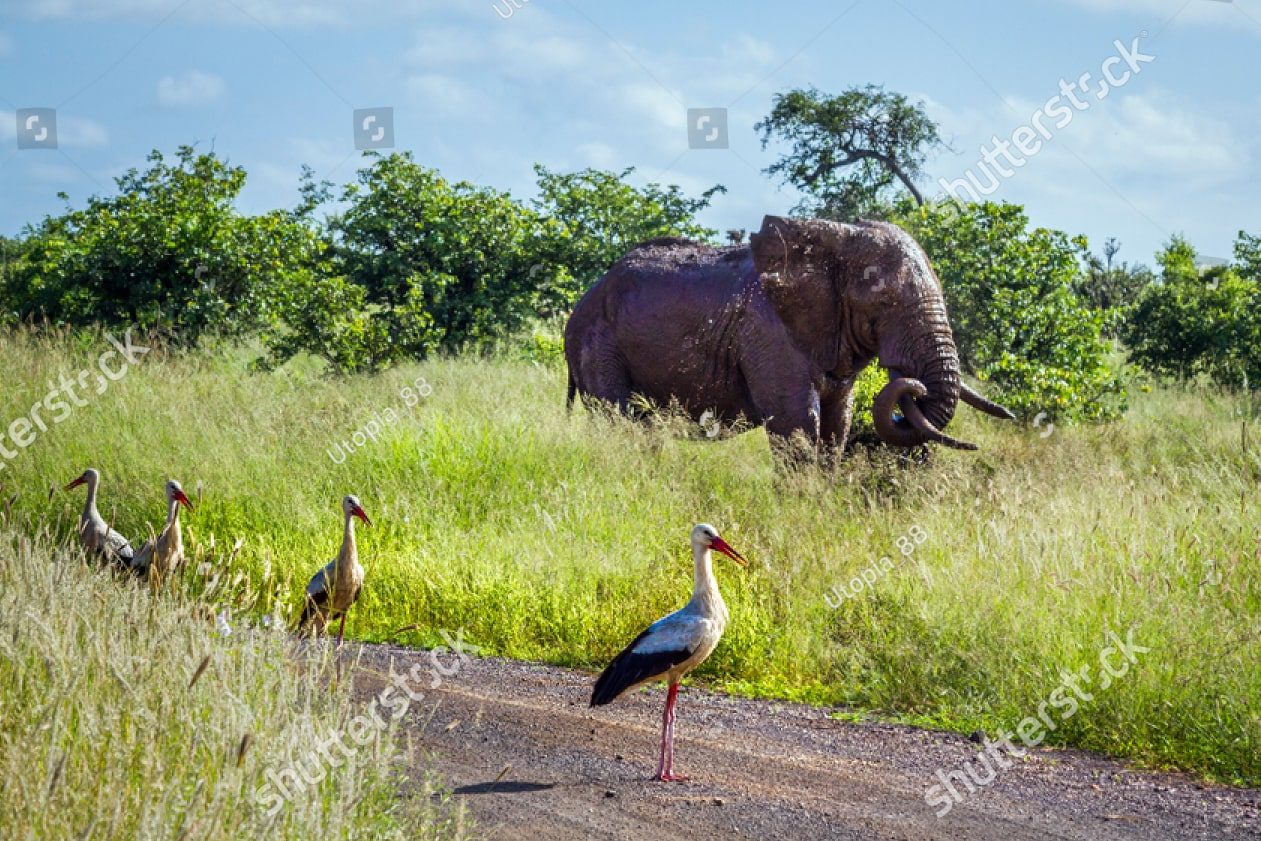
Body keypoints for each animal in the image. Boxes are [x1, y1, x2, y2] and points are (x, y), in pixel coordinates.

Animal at [563, 215, 1014, 460]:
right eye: (884, 302)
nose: (914, 387)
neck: (834, 239)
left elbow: (837, 426)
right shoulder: (769, 335)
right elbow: (796, 423)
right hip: (597, 345)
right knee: (618, 418)